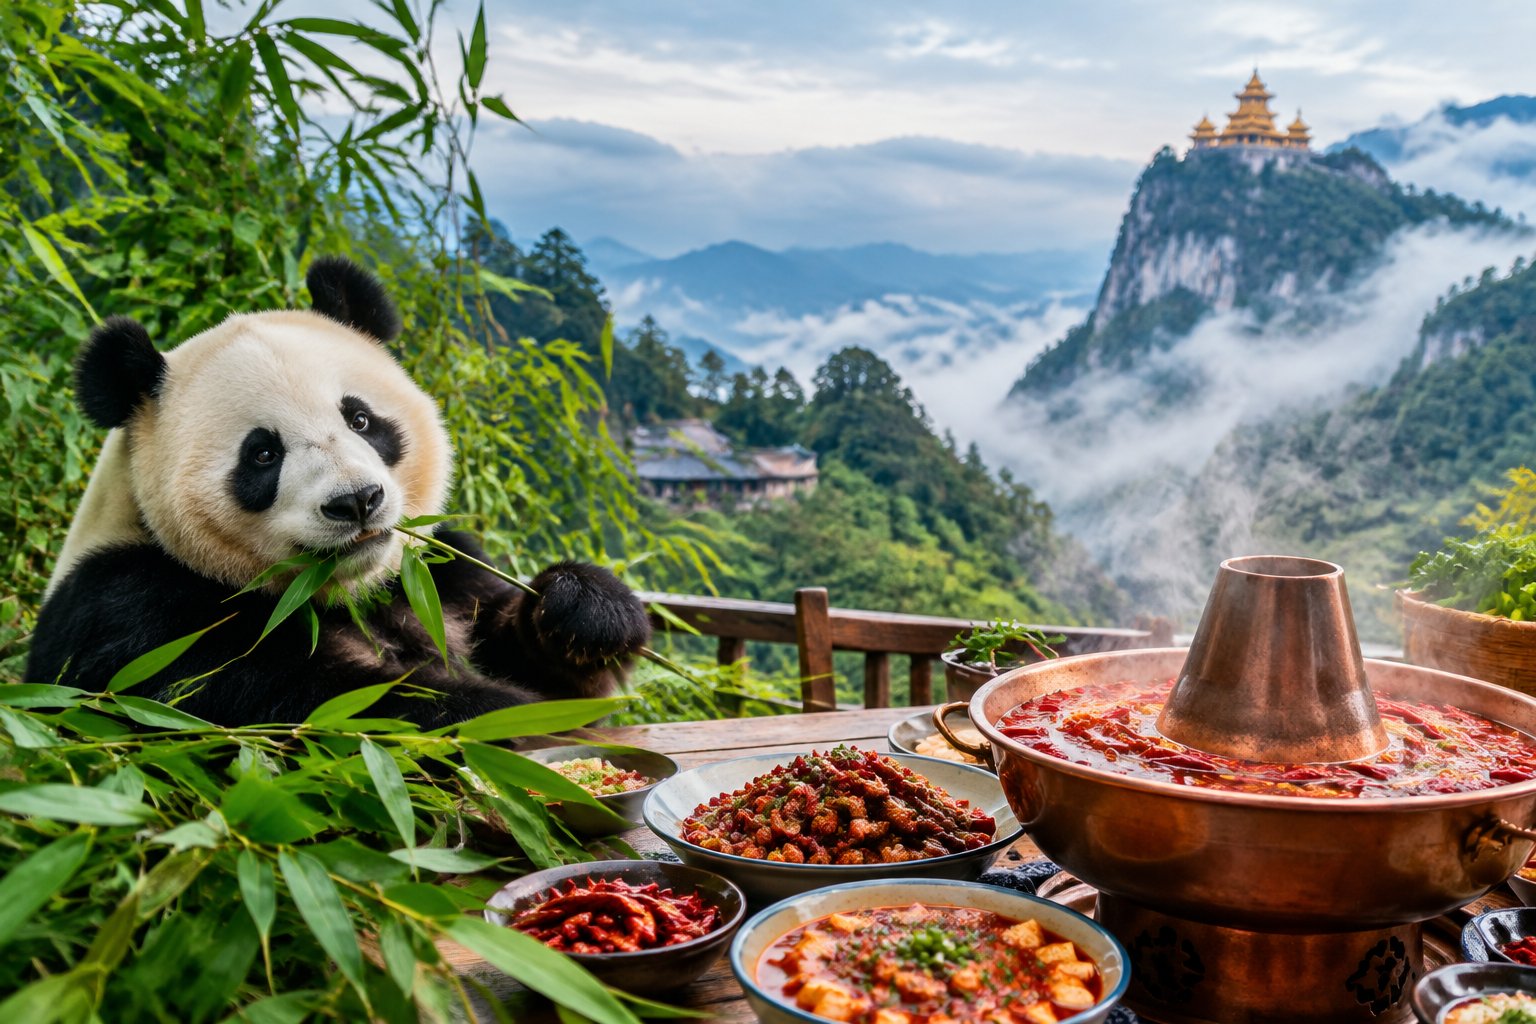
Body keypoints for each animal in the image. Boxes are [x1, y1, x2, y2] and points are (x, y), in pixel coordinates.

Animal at [26, 257, 652, 728]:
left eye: (360, 419)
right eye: (262, 454)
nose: (357, 501)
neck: (343, 591)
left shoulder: (438, 573)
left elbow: (536, 661)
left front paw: (585, 611)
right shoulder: (134, 612)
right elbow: (300, 700)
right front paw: (500, 714)